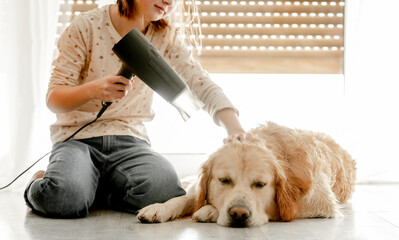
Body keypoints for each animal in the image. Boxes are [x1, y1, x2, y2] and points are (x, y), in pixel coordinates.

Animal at [139, 122, 358, 227]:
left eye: (261, 184)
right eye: (224, 180)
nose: (239, 214)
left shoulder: (320, 200)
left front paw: (209, 210)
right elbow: (187, 197)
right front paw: (160, 208)